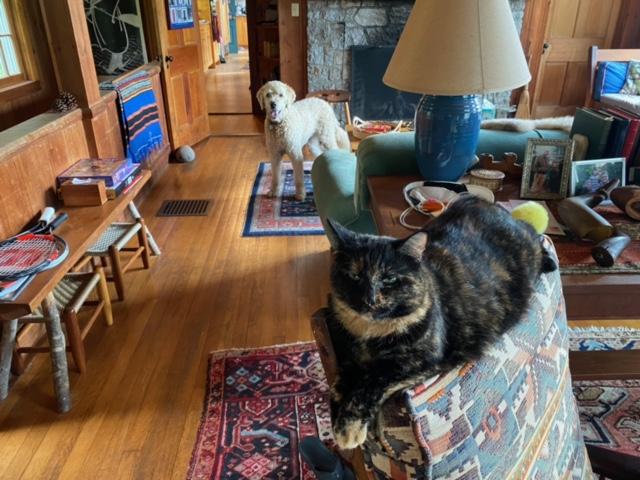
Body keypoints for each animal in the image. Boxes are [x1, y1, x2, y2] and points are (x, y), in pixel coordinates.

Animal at [325, 195, 557, 450]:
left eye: (390, 279)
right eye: (354, 276)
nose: (370, 299)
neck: (370, 334)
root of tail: (503, 211)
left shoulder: (421, 360)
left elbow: (372, 383)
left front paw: (349, 429)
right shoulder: (347, 356)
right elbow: (339, 384)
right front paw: (337, 416)